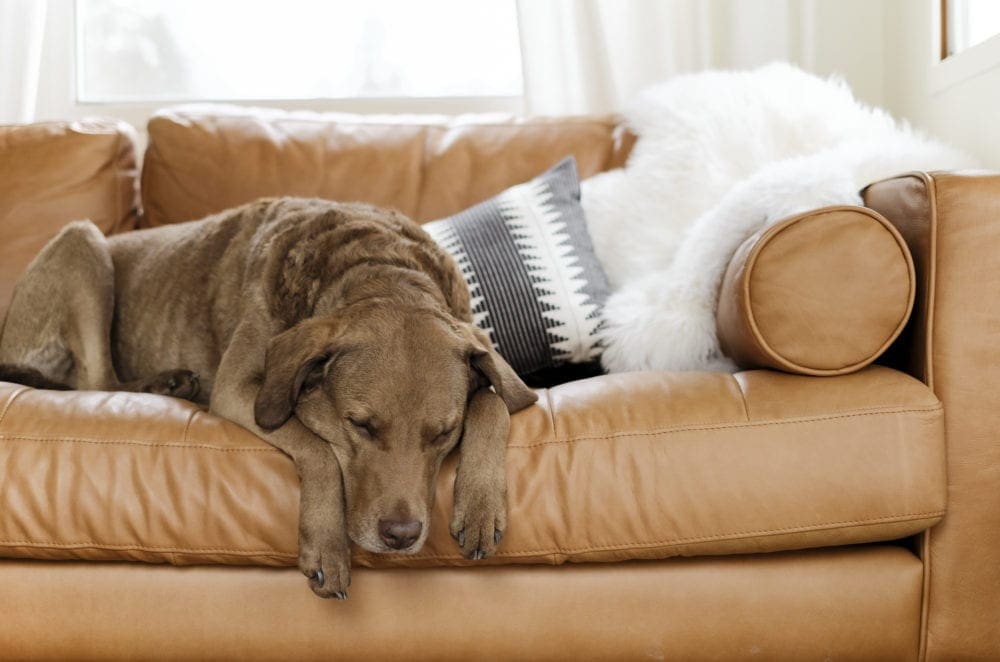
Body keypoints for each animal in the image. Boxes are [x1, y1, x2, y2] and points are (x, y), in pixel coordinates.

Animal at [0, 200, 540, 600]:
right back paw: (170, 383)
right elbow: (317, 449)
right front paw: (326, 547)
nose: (402, 535)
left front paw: (481, 506)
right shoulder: (241, 391)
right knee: (97, 378)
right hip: (82, 240)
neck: (376, 266)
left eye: (444, 433)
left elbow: (495, 400)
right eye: (361, 425)